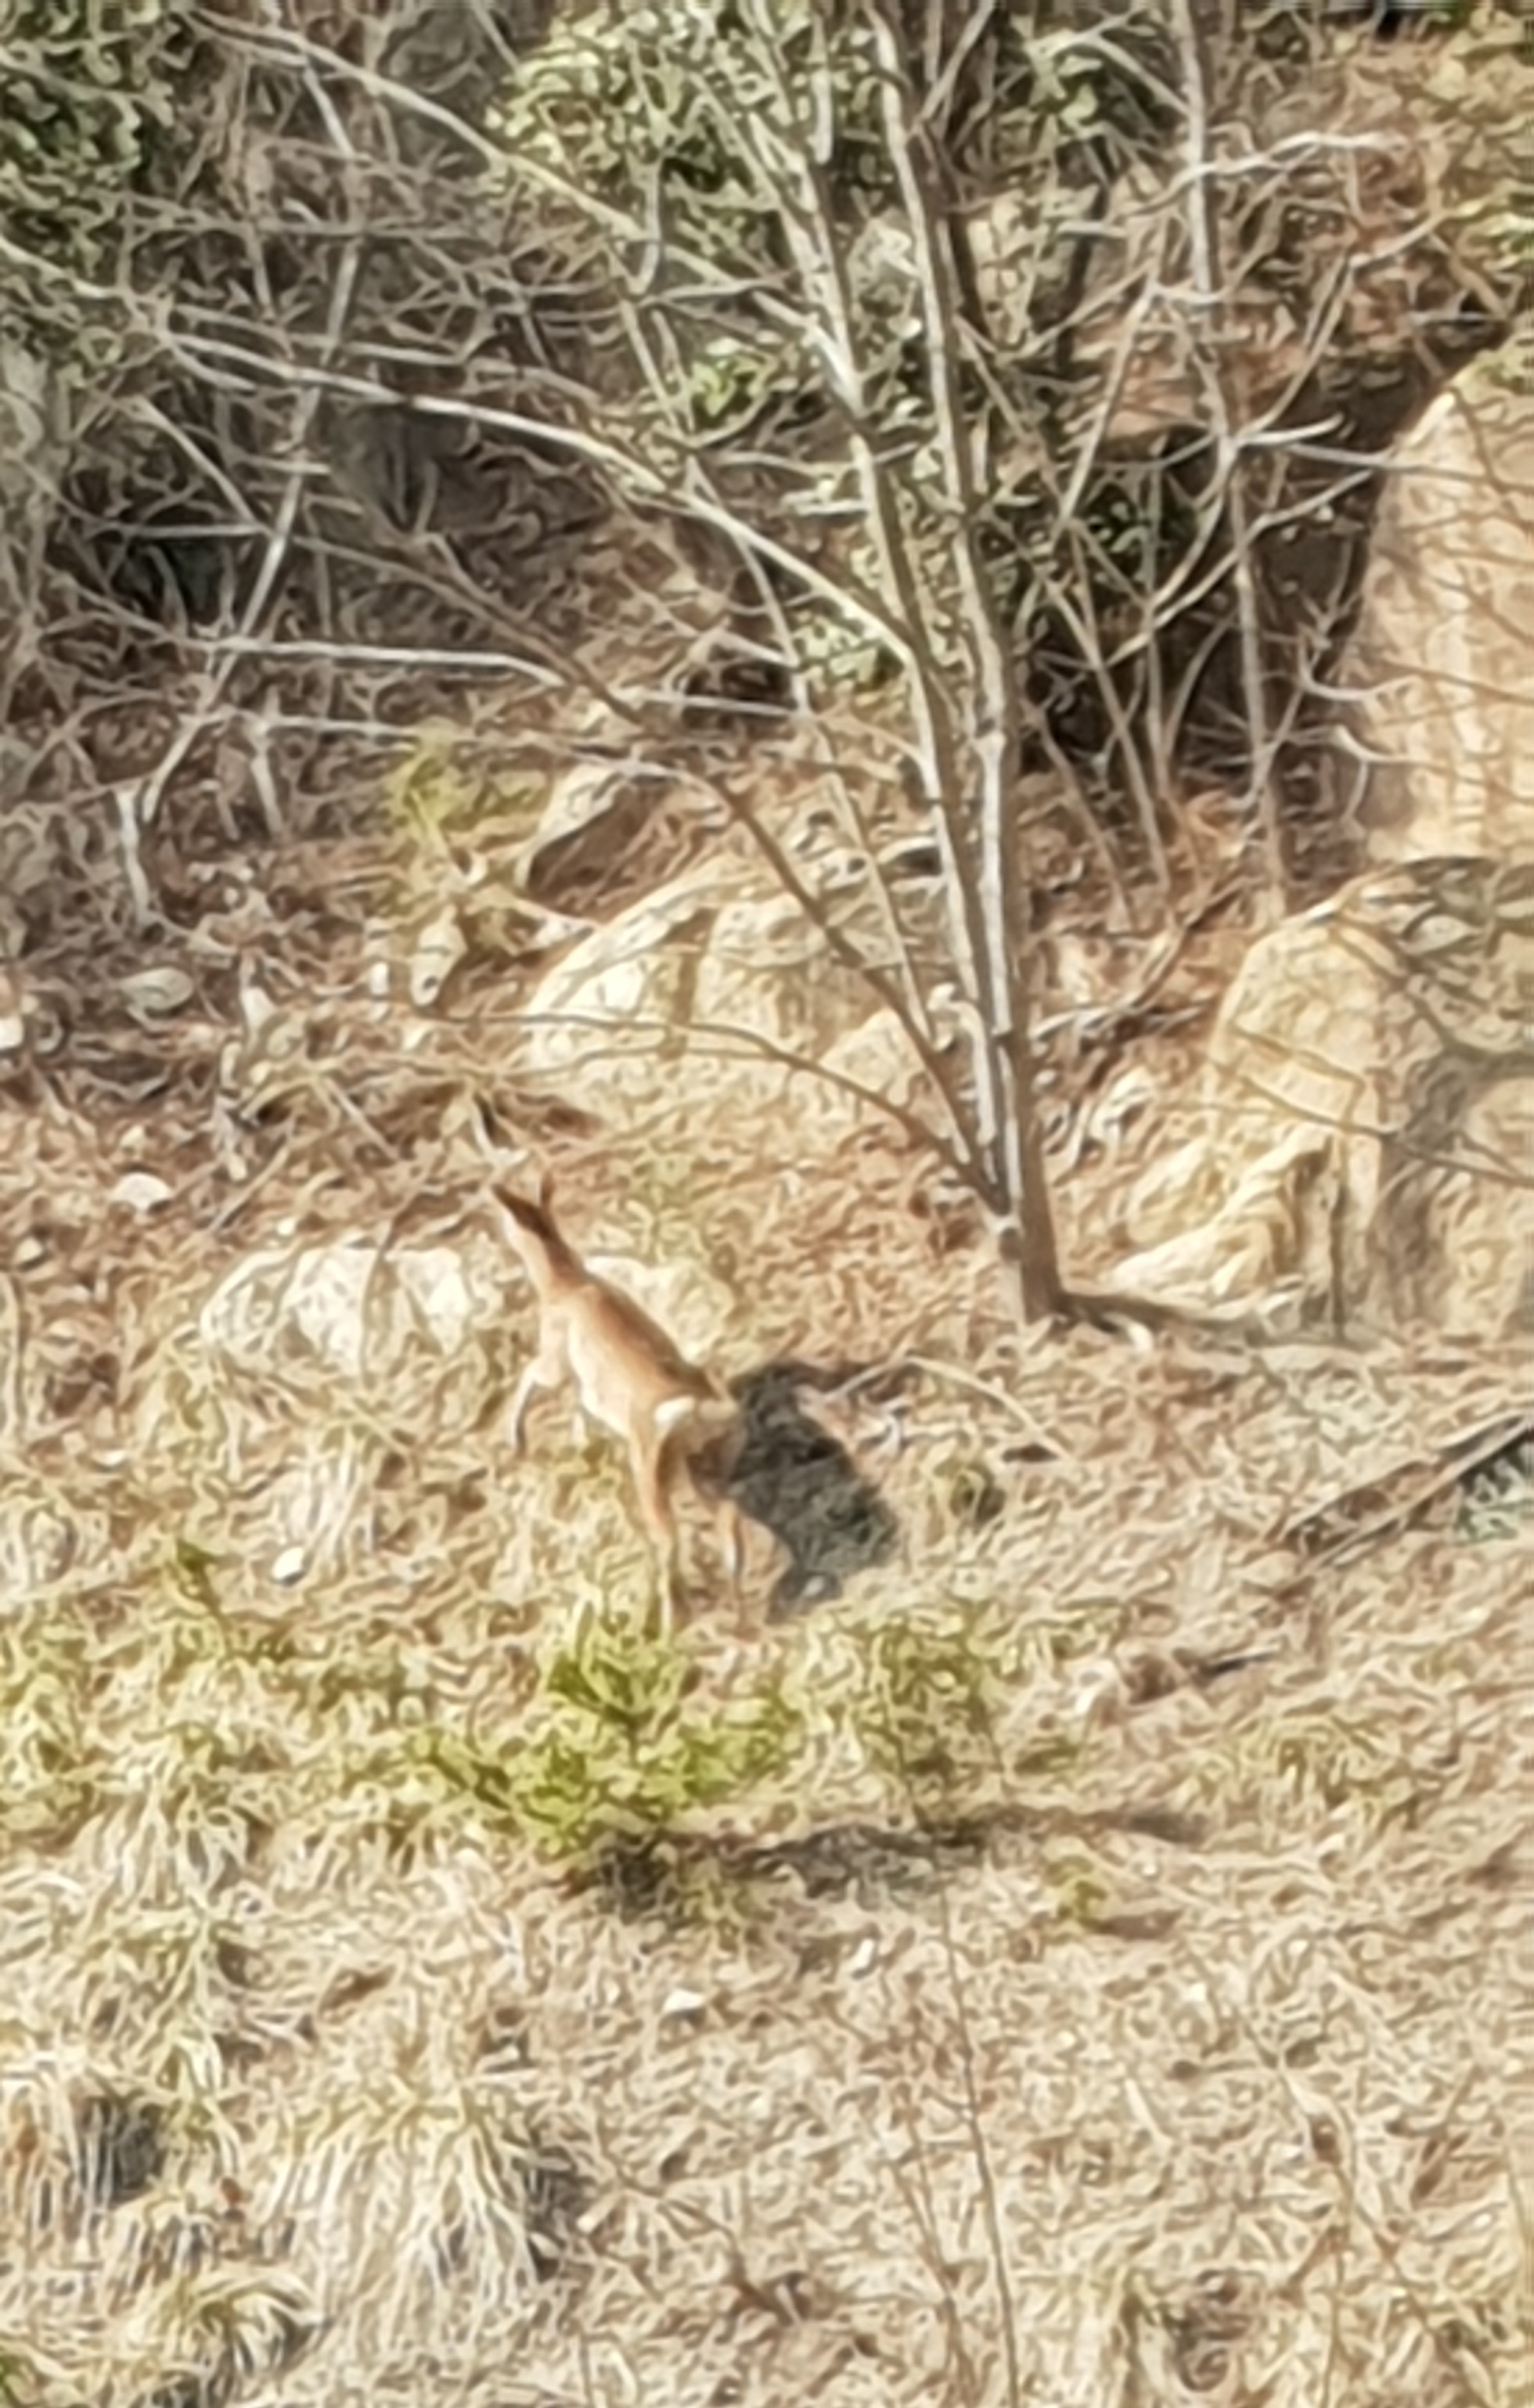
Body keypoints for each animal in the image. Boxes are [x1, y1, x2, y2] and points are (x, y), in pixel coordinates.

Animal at [491, 1175, 748, 1627]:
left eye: (508, 1216)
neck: (567, 1284)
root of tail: (695, 1410)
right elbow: (581, 1408)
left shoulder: (555, 1359)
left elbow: (530, 1377)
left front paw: (515, 1438)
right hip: (697, 1468)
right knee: (728, 1519)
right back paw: (737, 1606)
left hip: (651, 1473)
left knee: (669, 1541)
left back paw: (670, 1620)